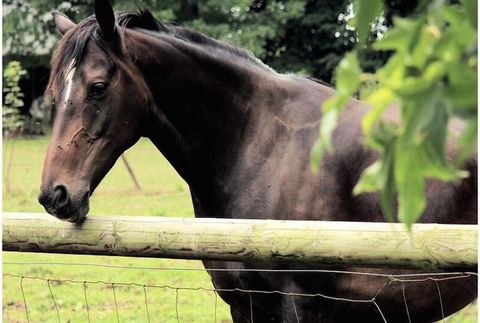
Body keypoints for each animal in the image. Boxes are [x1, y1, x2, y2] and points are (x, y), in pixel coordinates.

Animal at [38, 1, 476, 322]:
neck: (258, 144)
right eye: (53, 93)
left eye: (97, 88)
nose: (54, 195)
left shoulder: (303, 304)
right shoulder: (243, 303)